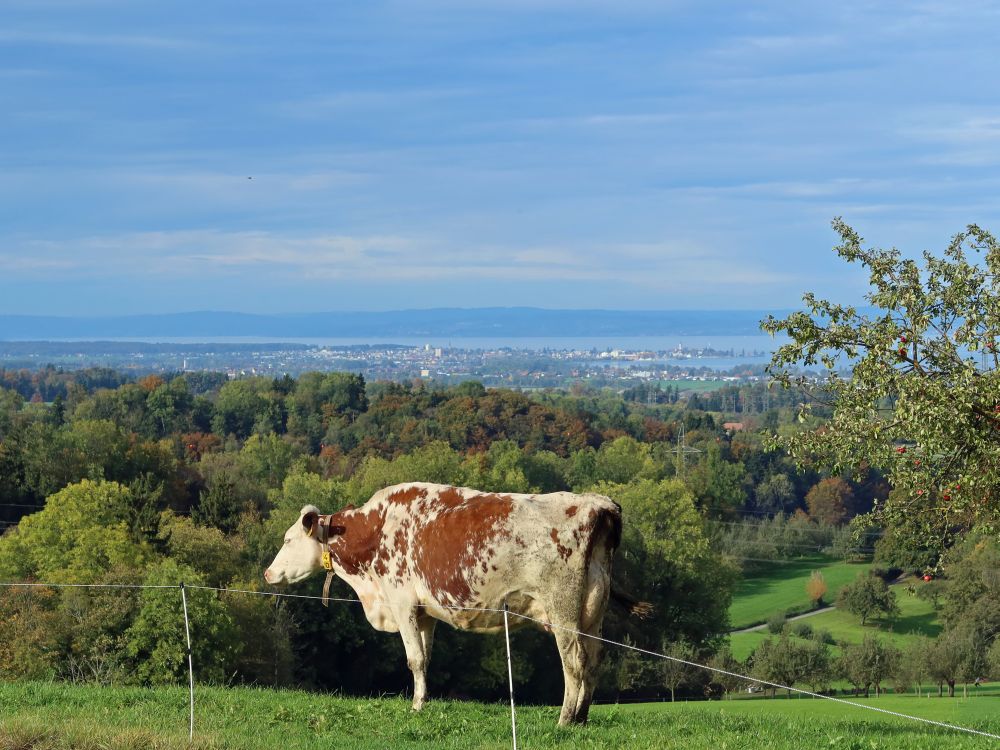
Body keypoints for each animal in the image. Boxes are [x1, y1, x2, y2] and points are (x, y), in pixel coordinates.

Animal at [266, 484, 636, 724]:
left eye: (288, 540)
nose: (269, 573)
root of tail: (597, 503)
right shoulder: (424, 612)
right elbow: (425, 659)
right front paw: (424, 701)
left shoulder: (401, 602)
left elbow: (413, 659)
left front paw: (415, 708)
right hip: (591, 614)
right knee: (594, 660)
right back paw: (582, 717)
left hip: (563, 611)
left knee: (573, 663)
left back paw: (564, 719)